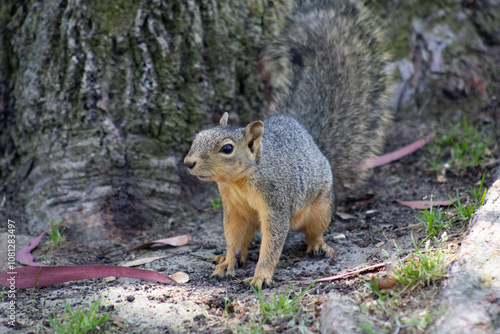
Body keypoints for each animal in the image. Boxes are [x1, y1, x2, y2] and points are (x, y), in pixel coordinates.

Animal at [184, 0, 390, 288]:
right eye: (198, 136)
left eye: (227, 149)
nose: (188, 163)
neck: (240, 180)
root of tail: (313, 142)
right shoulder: (233, 209)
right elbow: (232, 237)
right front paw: (227, 261)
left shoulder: (276, 203)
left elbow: (272, 243)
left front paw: (261, 275)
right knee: (245, 240)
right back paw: (232, 257)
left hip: (321, 207)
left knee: (314, 231)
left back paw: (318, 246)